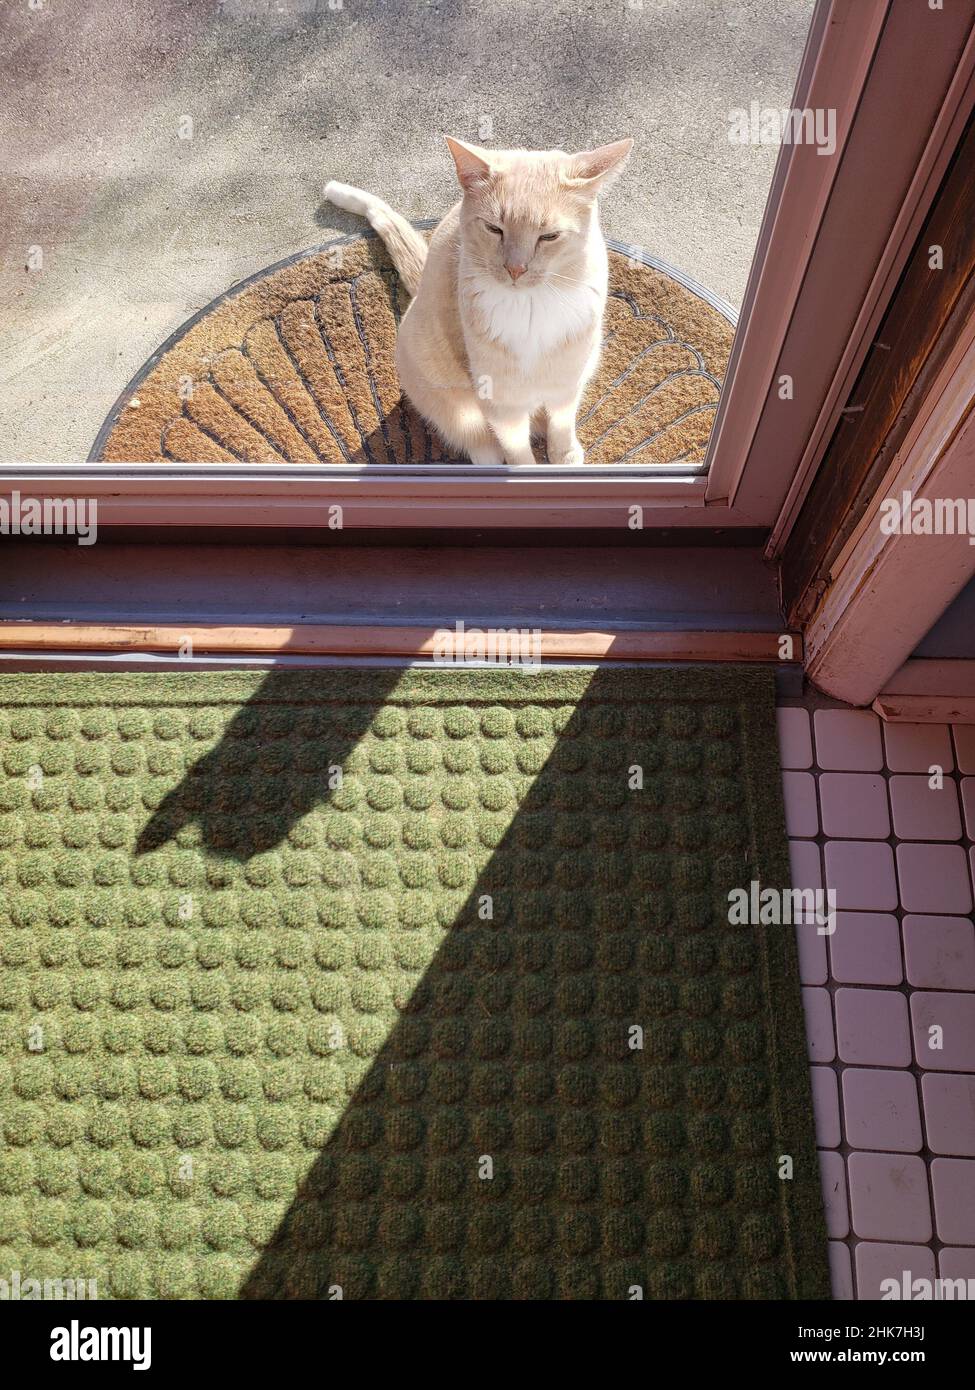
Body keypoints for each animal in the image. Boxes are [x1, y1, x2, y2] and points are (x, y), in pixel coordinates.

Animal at [326, 138, 631, 469]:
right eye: (494, 229)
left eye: (549, 236)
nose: (515, 268)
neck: (532, 307)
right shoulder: (500, 402)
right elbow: (516, 448)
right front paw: (528, 469)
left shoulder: (568, 382)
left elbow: (561, 423)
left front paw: (564, 457)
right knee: (472, 436)